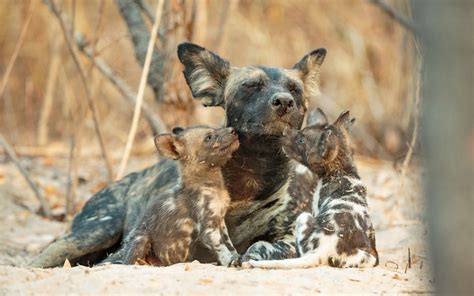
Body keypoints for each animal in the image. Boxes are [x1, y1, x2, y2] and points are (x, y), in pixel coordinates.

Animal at [29, 42, 326, 268]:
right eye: (251, 86)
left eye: (295, 90)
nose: (284, 101)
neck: (253, 172)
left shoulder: (287, 239)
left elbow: (260, 246)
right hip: (94, 233)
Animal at [248, 108, 378, 268]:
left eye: (301, 140)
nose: (283, 133)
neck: (341, 171)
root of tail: (324, 250)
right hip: (368, 259)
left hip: (303, 217)